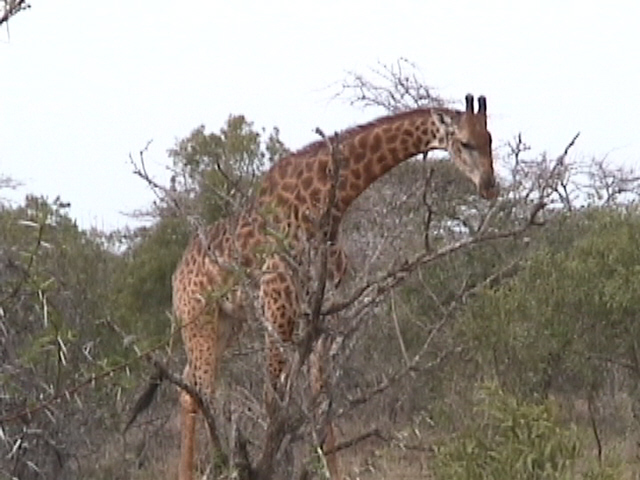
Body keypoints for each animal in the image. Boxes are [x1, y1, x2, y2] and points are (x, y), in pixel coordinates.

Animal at [171, 94, 497, 480]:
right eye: (465, 142)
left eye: (490, 139)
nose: (490, 186)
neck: (330, 205)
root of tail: (177, 274)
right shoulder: (278, 304)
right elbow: (274, 401)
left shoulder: (322, 313)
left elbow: (321, 398)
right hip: (198, 318)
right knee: (201, 390)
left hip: (227, 323)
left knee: (188, 387)